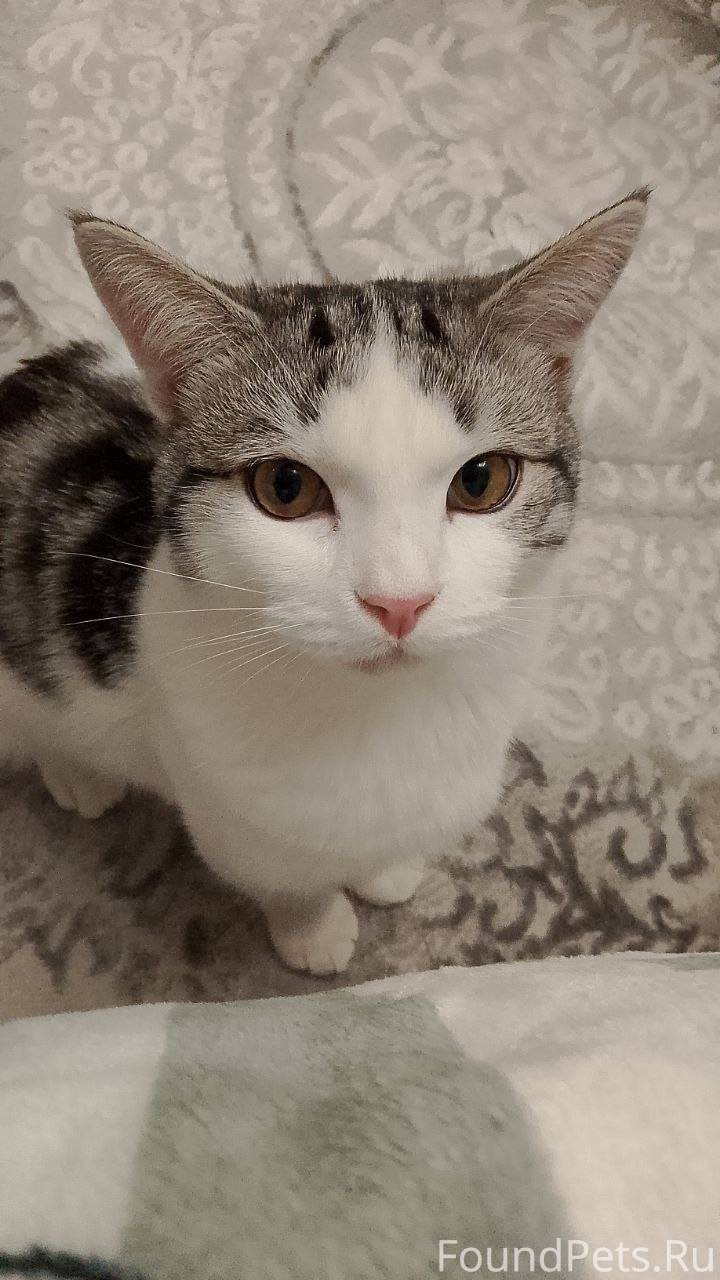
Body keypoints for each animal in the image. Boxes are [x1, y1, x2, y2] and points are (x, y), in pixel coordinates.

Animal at [0, 191, 648, 974]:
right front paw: (314, 931)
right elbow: (287, 878)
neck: (379, 719)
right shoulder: (225, 803)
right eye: (286, 487)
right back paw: (77, 773)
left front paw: (385, 869)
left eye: (483, 480)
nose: (399, 600)